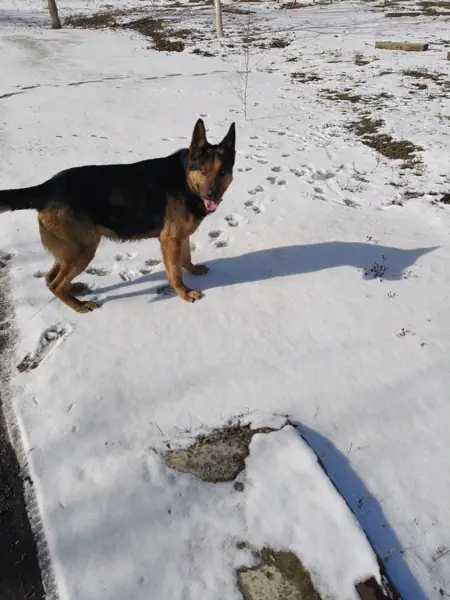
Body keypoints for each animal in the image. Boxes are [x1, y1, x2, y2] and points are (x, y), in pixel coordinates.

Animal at [0, 118, 235, 313]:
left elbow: (186, 257)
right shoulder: (170, 240)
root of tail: (47, 187)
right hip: (84, 249)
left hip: (71, 249)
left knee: (51, 278)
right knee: (55, 284)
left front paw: (193, 270)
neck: (186, 180)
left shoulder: (180, 237)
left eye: (222, 172)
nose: (212, 195)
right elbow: (175, 272)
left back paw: (73, 290)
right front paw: (184, 293)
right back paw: (78, 305)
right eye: (203, 171)